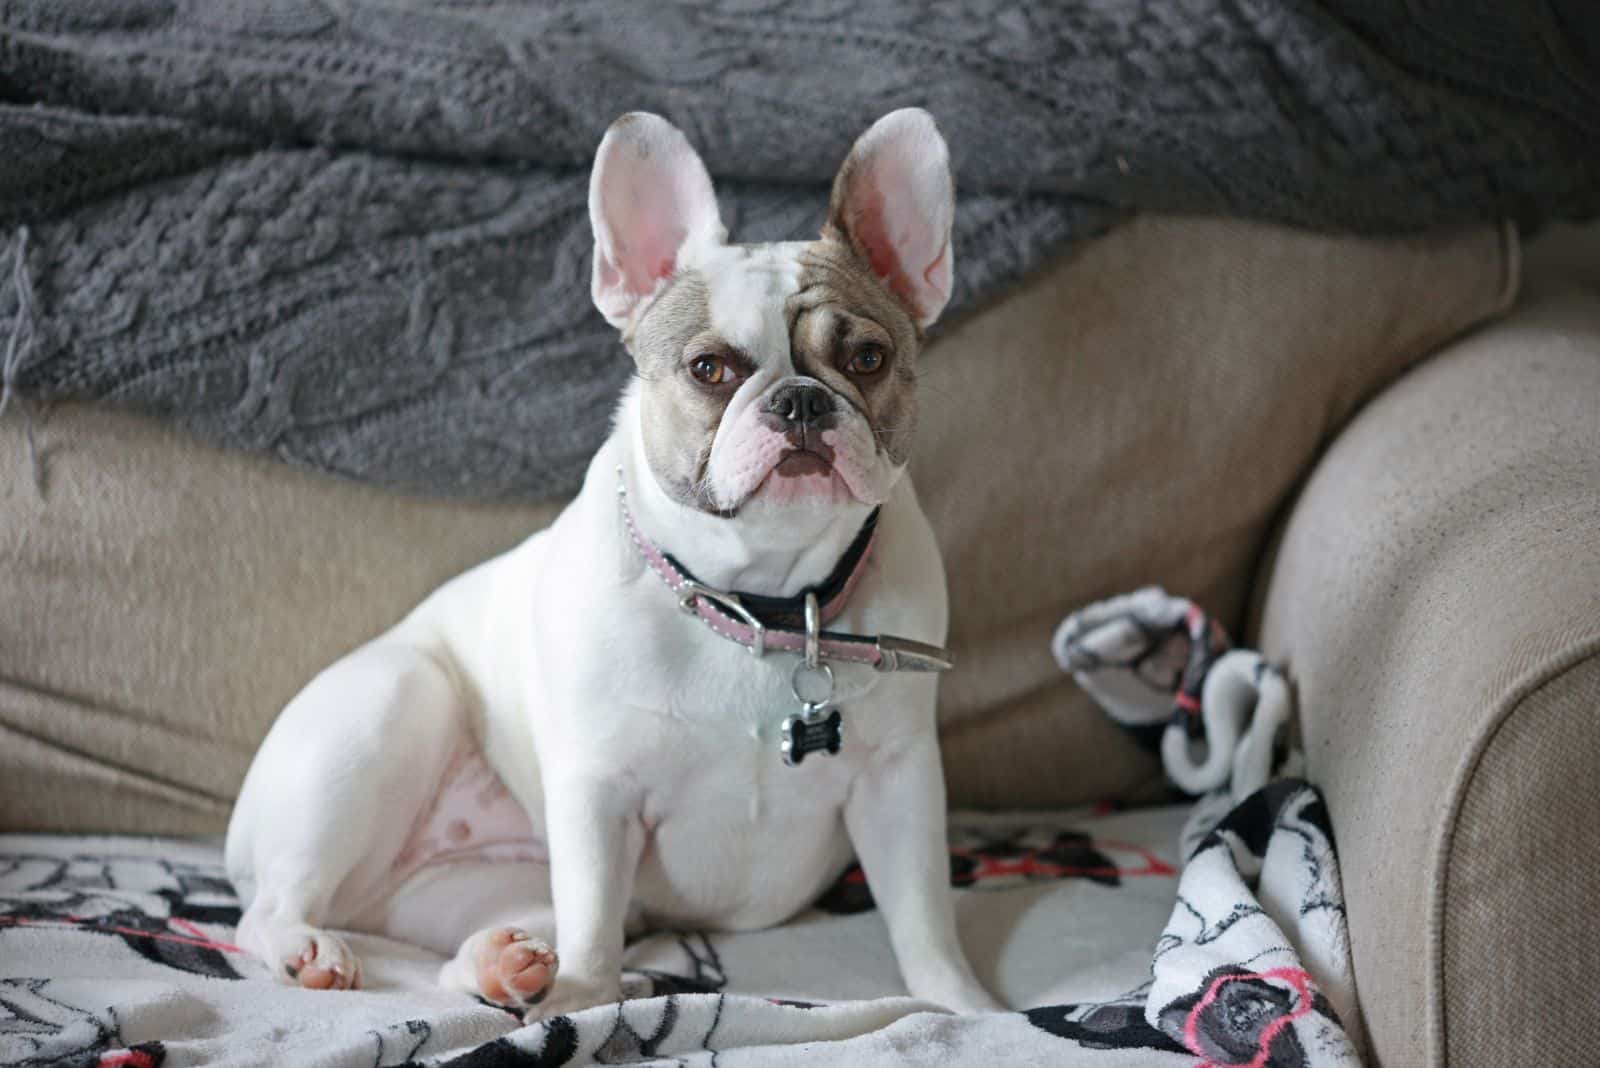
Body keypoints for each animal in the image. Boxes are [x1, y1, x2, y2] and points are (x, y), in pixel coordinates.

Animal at [225, 106, 998, 1016]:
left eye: (867, 359)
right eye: (710, 370)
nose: (801, 402)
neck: (758, 601)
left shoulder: (898, 781)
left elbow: (921, 914)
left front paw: (965, 1006)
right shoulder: (599, 791)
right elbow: (593, 913)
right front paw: (585, 995)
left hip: (486, 888)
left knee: (455, 954)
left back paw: (500, 966)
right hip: (389, 707)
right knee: (270, 909)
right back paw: (311, 949)